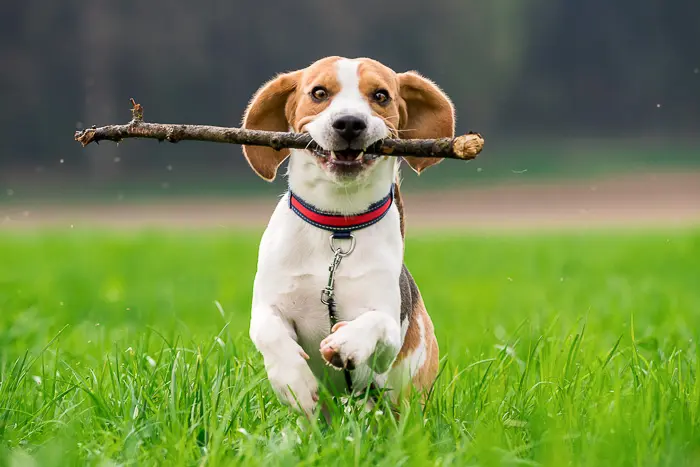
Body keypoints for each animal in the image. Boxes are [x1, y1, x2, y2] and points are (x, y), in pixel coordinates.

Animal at [243, 56, 456, 418]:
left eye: (381, 95)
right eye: (318, 92)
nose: (349, 123)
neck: (337, 230)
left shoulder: (387, 332)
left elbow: (376, 323)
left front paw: (346, 343)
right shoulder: (269, 306)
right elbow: (269, 331)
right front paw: (295, 382)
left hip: (407, 394)